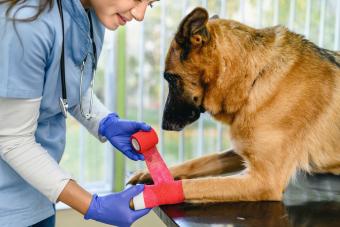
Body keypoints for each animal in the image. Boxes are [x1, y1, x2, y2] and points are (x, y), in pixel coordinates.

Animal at [128, 6, 340, 202]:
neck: (255, 78)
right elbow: (198, 161)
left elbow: (199, 184)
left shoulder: (264, 181)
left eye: (170, 78)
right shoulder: (240, 152)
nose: (164, 125)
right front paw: (146, 174)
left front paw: (150, 194)